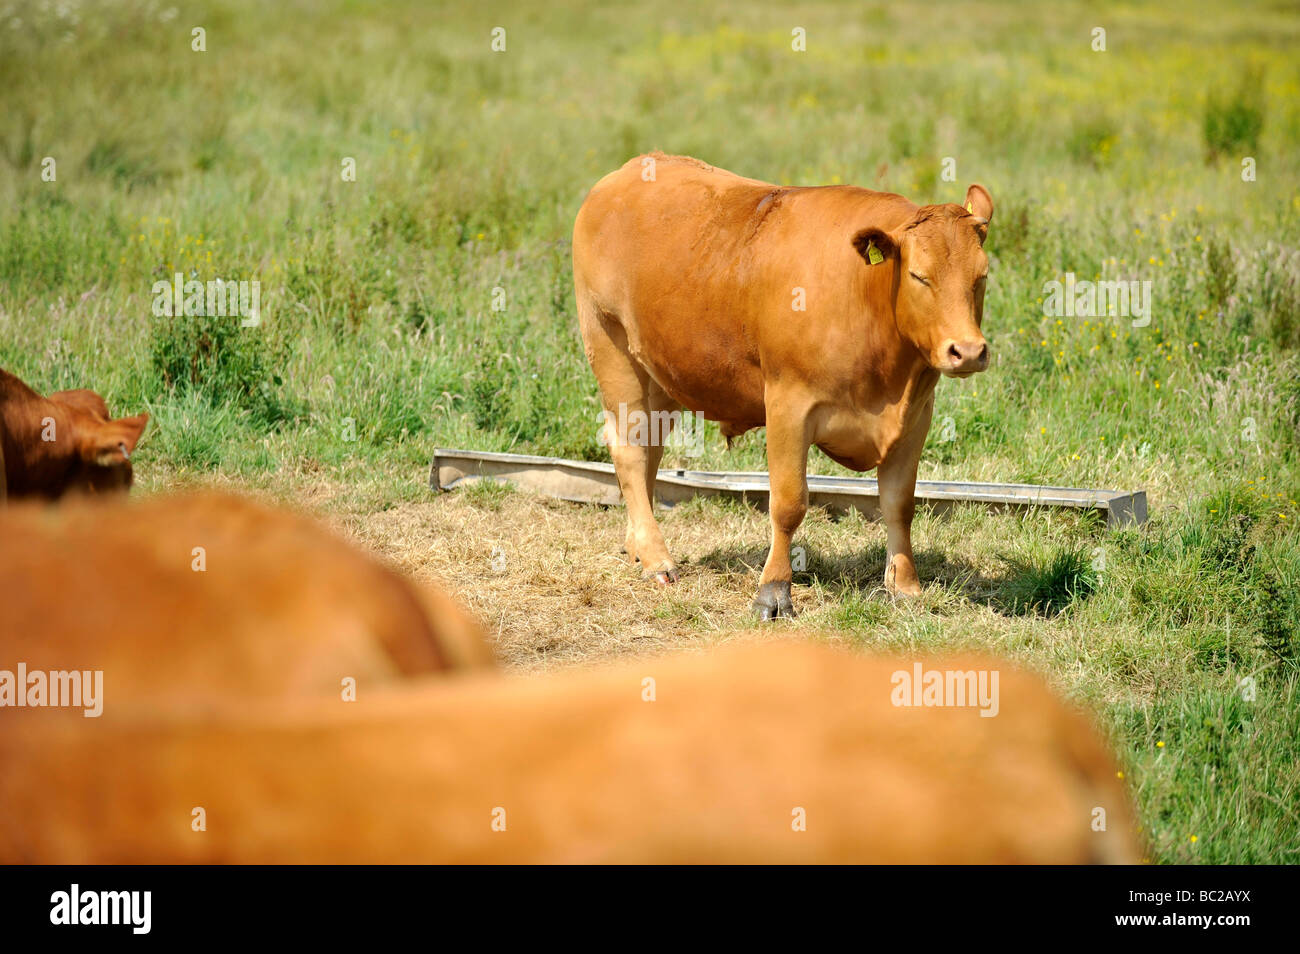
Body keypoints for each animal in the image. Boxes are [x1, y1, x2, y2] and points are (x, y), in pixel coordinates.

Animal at [573, 153, 993, 617]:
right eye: (919, 277)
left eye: (981, 276)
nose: (967, 351)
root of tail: (627, 171)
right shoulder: (789, 404)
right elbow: (789, 504)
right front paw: (774, 591)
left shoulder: (916, 415)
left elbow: (899, 504)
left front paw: (904, 586)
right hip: (608, 341)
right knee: (628, 449)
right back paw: (656, 558)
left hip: (660, 370)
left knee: (649, 447)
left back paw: (637, 546)